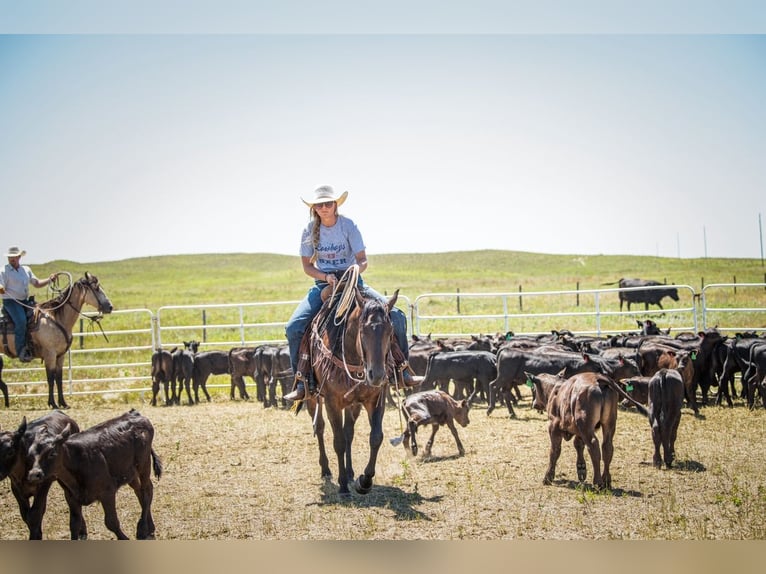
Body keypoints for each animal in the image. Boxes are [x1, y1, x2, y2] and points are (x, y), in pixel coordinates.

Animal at [0, 274, 113, 410]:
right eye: (96, 288)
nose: (110, 307)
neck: (57, 318)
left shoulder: (60, 355)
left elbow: (59, 378)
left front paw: (63, 403)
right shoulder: (50, 354)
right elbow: (50, 378)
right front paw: (52, 403)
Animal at [24, 412, 162, 544]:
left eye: (52, 453)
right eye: (30, 454)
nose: (34, 474)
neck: (76, 460)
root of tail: (138, 417)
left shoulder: (107, 492)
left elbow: (111, 522)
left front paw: (124, 538)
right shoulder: (71, 497)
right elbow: (74, 524)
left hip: (144, 465)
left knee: (147, 491)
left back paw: (142, 529)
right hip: (130, 473)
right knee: (139, 492)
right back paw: (150, 527)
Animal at [298, 268, 400, 498]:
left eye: (390, 331)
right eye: (363, 330)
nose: (377, 375)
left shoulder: (375, 399)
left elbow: (375, 437)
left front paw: (364, 481)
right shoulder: (332, 402)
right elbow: (337, 442)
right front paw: (343, 485)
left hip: (353, 404)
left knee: (348, 433)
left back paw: (352, 472)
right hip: (312, 398)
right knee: (320, 428)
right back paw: (327, 470)